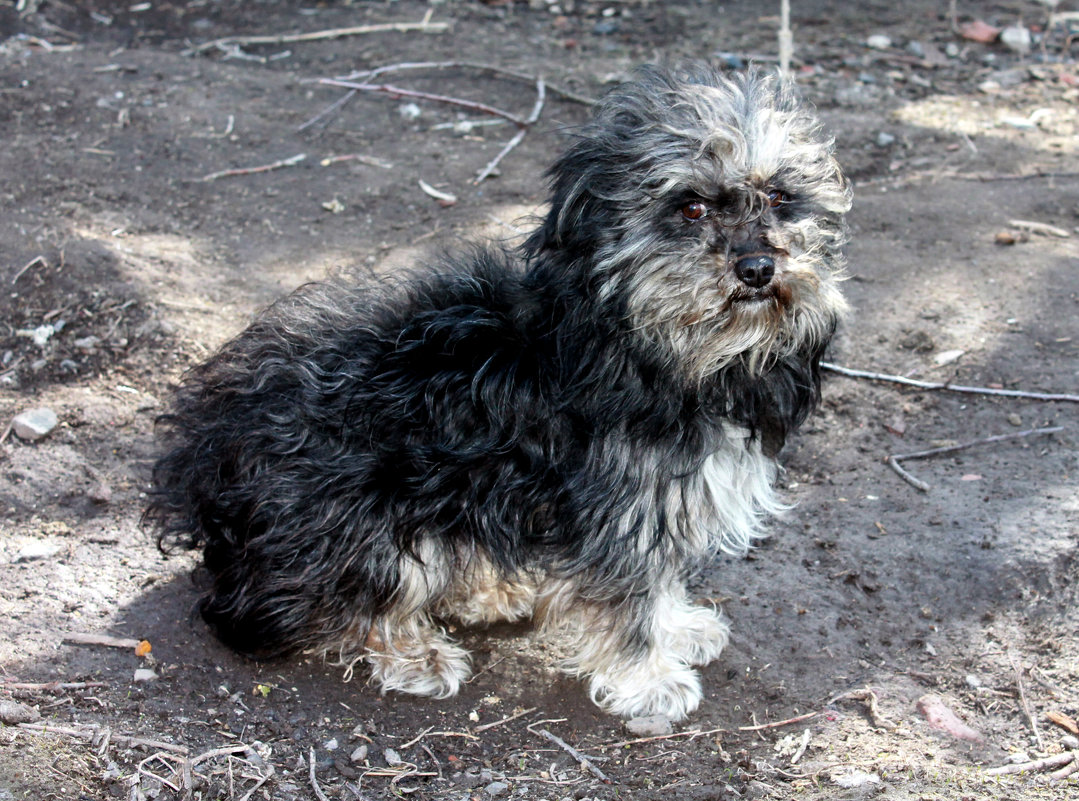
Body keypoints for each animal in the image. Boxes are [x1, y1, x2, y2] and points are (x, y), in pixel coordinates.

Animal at [149, 65, 850, 725]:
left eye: (780, 196)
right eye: (692, 208)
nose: (759, 267)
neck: (653, 344)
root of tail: (204, 465)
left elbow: (661, 579)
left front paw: (677, 626)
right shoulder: (618, 509)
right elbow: (630, 598)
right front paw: (648, 679)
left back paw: (490, 591)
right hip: (361, 518)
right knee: (345, 602)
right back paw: (414, 650)